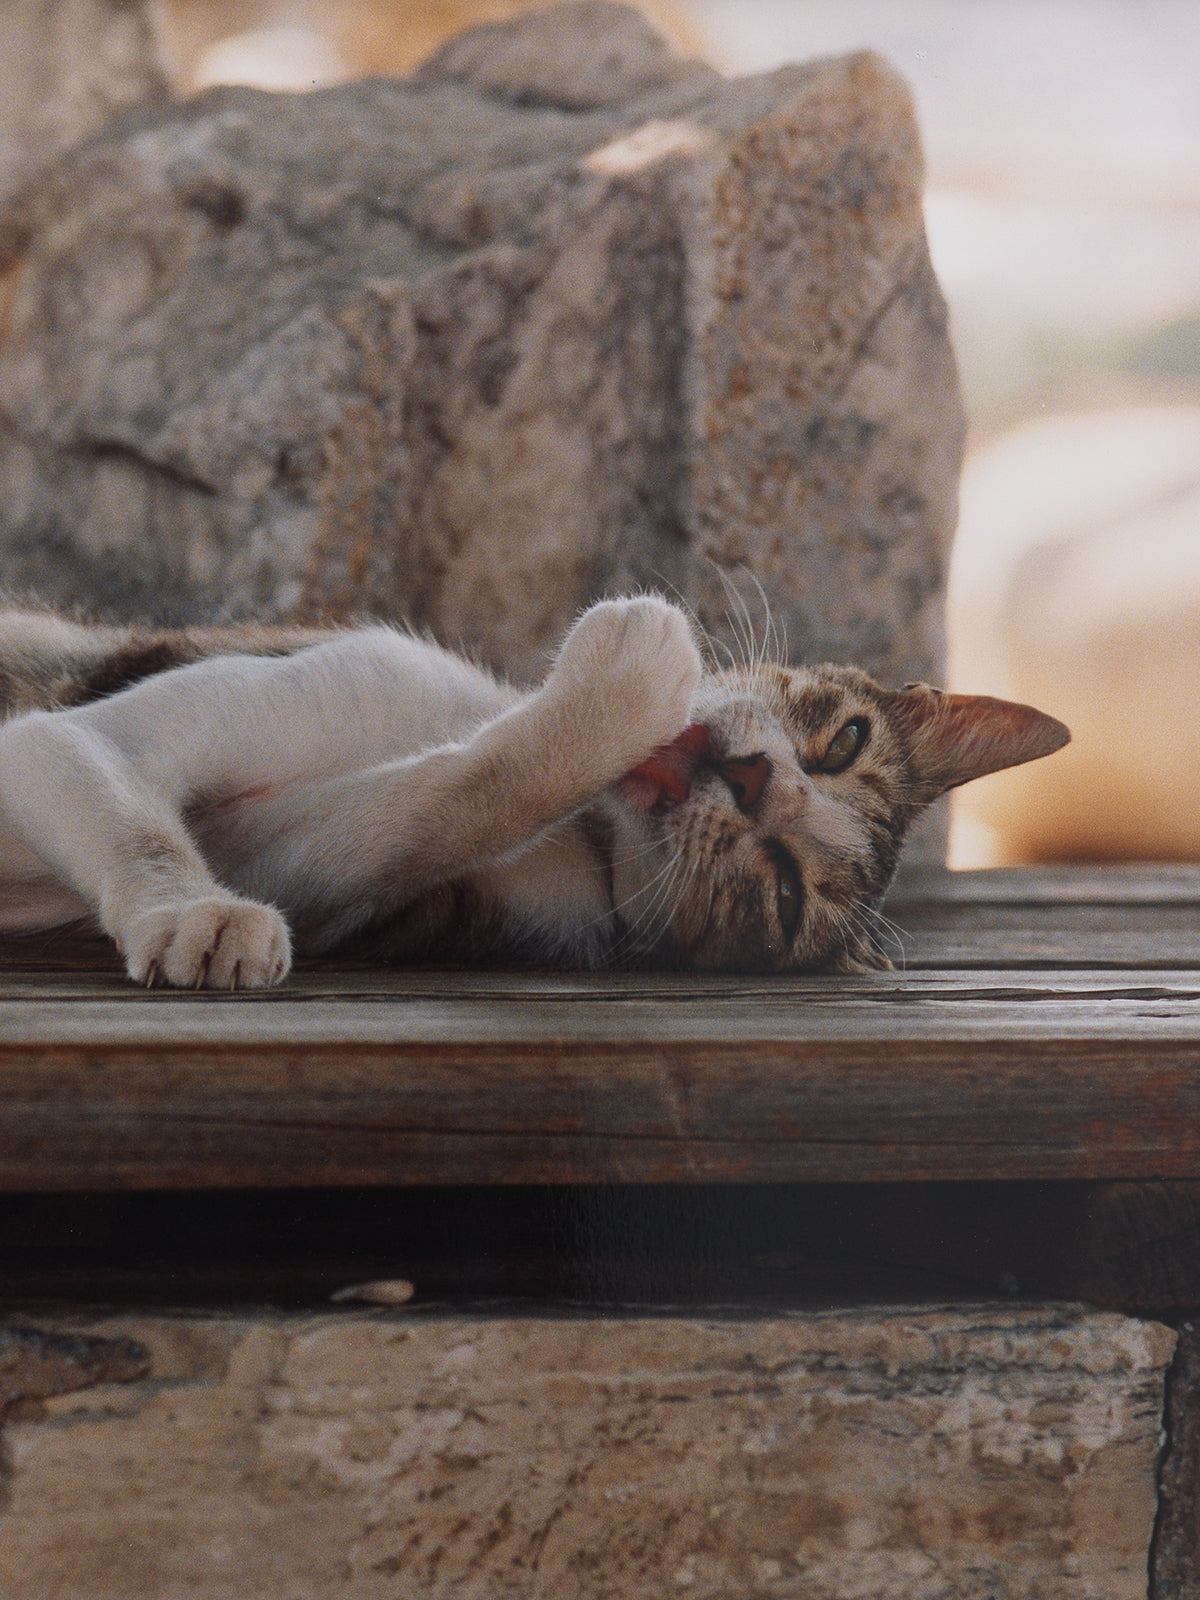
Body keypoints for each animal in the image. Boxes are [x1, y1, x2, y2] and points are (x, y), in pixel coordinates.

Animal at [0, 595, 1068, 979]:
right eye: (844, 740)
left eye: (785, 893)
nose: (755, 778)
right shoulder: (76, 733)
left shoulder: (317, 868)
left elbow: (445, 802)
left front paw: (203, 917)